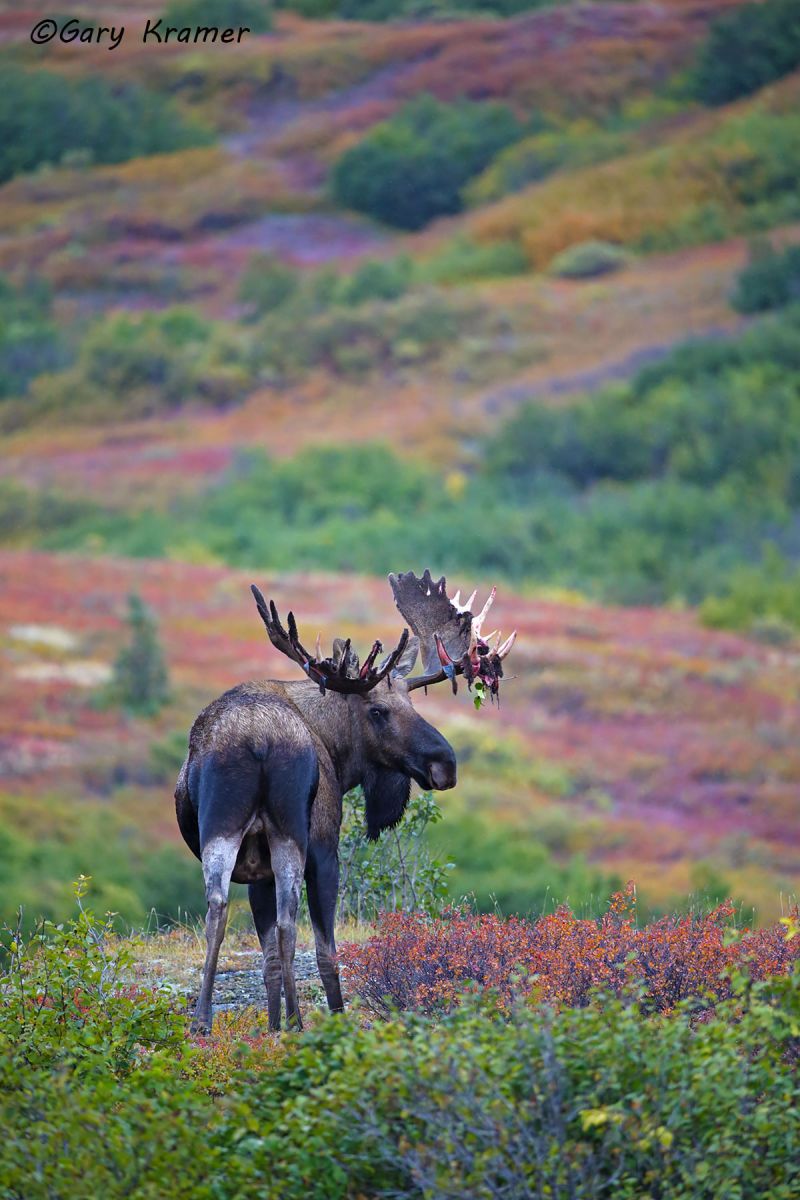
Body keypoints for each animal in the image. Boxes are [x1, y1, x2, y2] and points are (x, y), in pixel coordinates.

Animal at [175, 569, 516, 1034]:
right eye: (377, 711)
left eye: (411, 702)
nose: (445, 764)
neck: (335, 747)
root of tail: (260, 741)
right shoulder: (324, 846)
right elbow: (324, 950)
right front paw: (321, 1018)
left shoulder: (257, 868)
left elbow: (268, 959)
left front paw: (273, 1026)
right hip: (295, 834)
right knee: (294, 924)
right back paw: (300, 1020)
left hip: (223, 826)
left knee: (219, 906)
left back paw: (203, 1021)